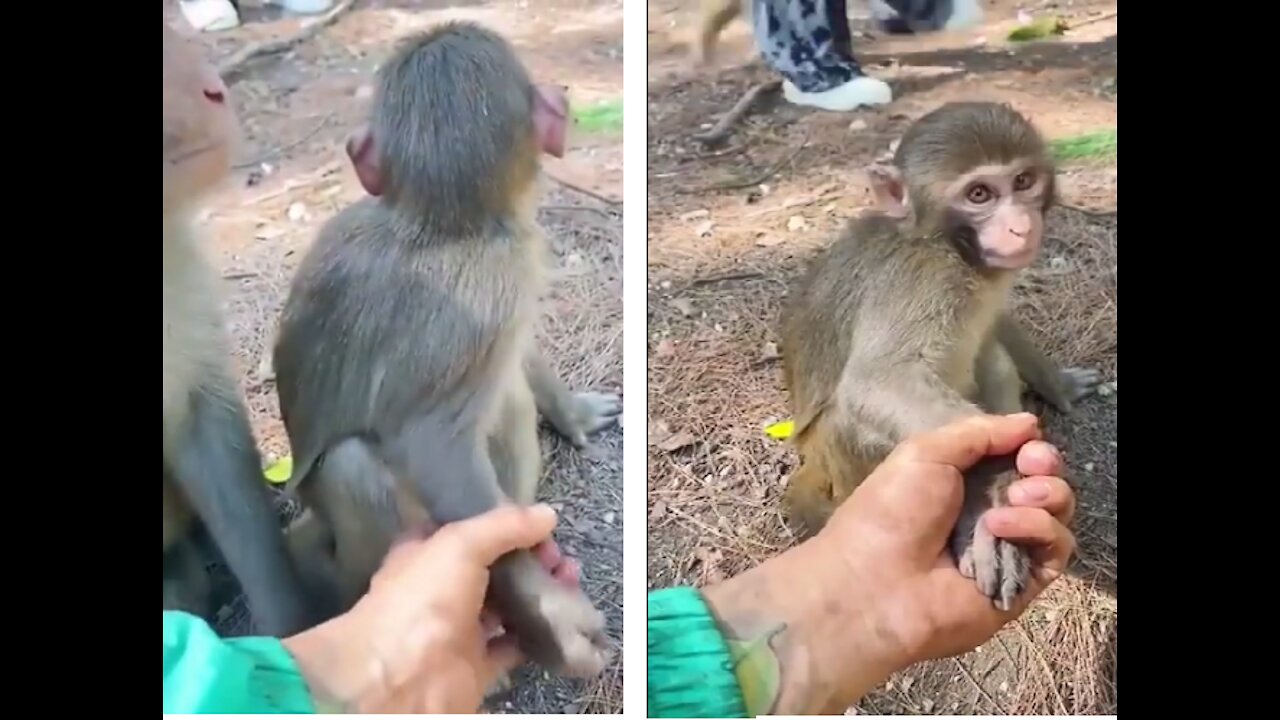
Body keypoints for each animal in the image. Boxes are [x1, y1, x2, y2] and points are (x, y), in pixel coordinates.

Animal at [273, 19, 619, 676]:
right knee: (358, 463)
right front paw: (548, 619)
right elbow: (437, 449)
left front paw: (572, 412)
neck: (440, 225)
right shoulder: (504, 272)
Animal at [773, 99, 1105, 604]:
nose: (1021, 226)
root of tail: (812, 463)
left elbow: (997, 323)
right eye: (979, 194)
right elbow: (879, 382)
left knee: (993, 360)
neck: (953, 249)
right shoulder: (922, 278)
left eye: (1023, 181)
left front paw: (1056, 383)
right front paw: (991, 495)